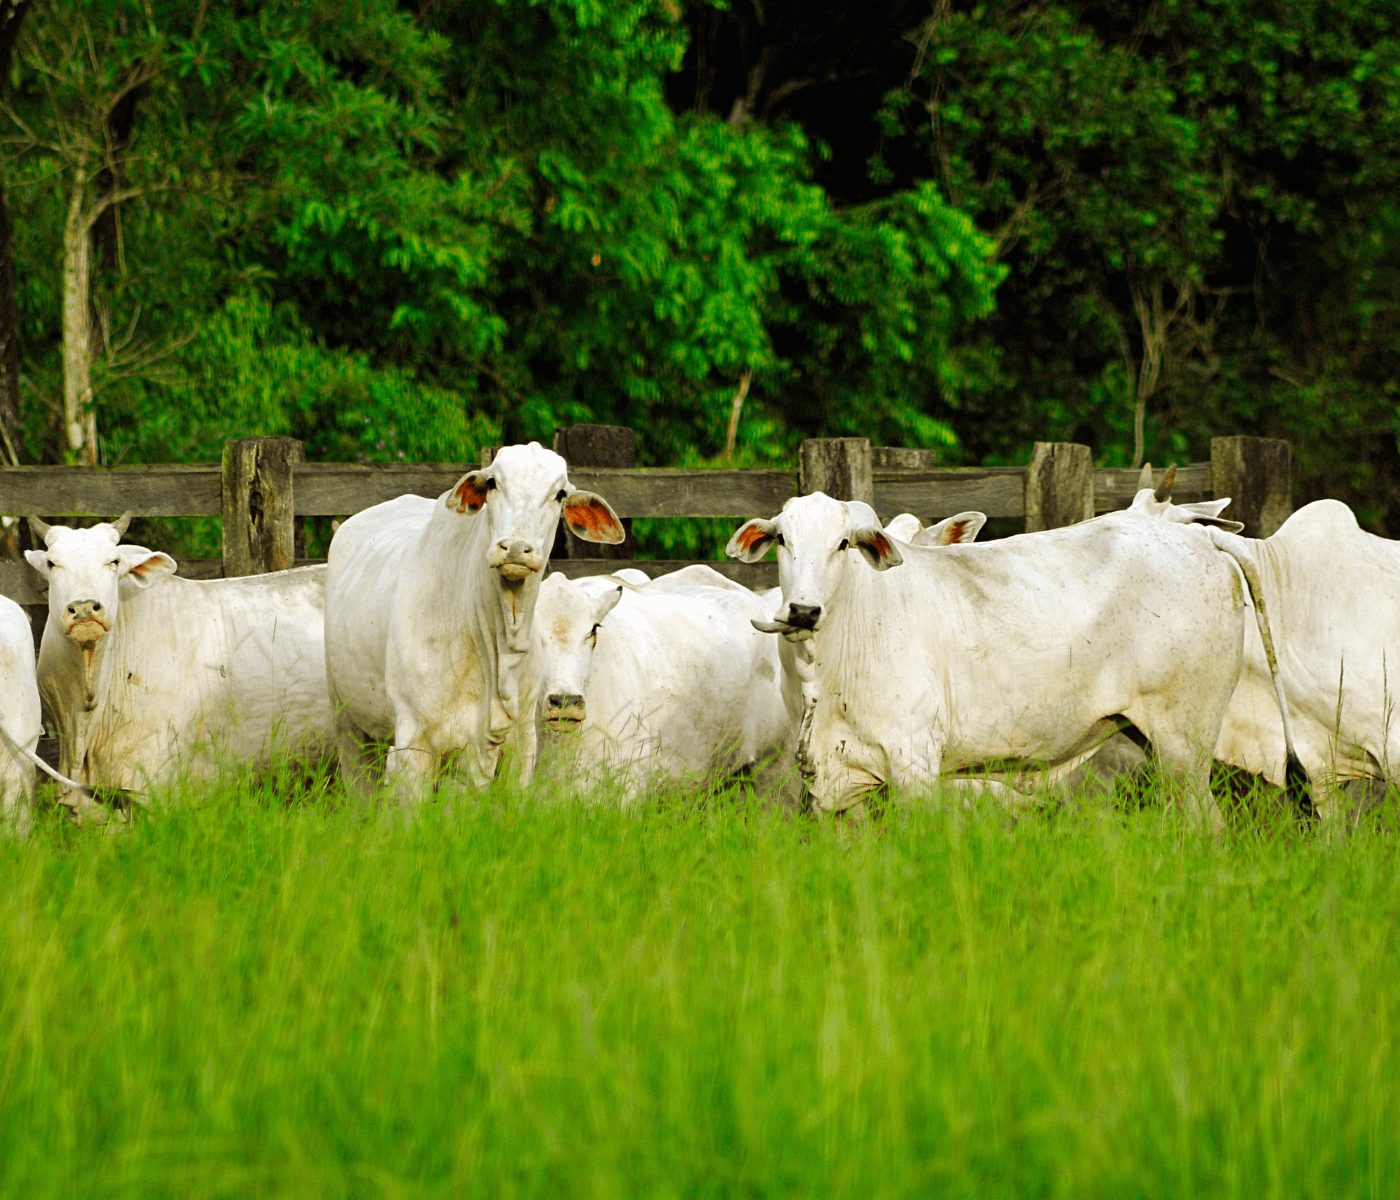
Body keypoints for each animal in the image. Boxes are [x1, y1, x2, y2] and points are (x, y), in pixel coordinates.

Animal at [324, 439, 621, 795]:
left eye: (560, 493)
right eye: (492, 483)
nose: (515, 548)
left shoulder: (516, 745)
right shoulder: (413, 743)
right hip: (348, 724)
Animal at [733, 490, 1288, 823]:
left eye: (844, 544)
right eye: (782, 539)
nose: (803, 610)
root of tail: (1198, 534)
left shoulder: (915, 767)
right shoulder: (837, 785)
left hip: (1185, 741)